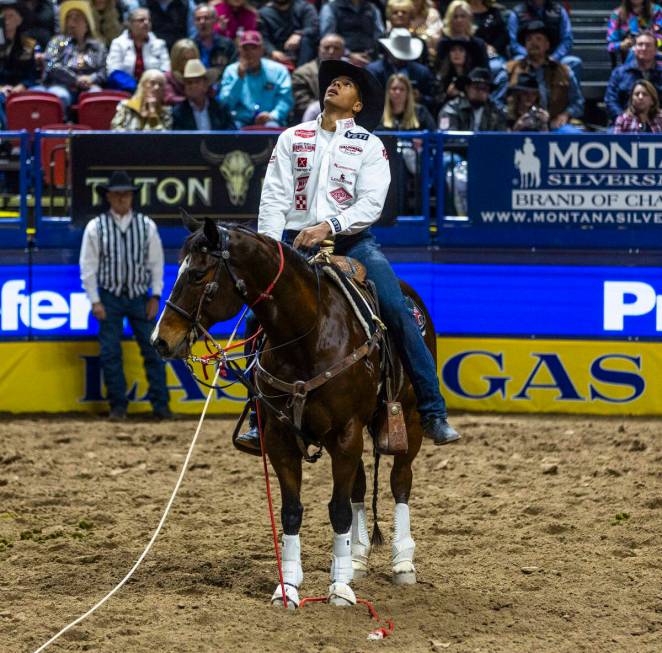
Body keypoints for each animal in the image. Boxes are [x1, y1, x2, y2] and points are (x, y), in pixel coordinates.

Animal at [149, 219, 436, 608]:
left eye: (196, 274)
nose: (160, 340)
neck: (308, 333)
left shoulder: (346, 432)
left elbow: (338, 509)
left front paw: (339, 589)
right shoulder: (280, 438)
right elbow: (292, 511)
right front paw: (289, 587)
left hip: (408, 420)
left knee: (400, 481)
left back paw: (402, 562)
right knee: (361, 485)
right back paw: (357, 558)